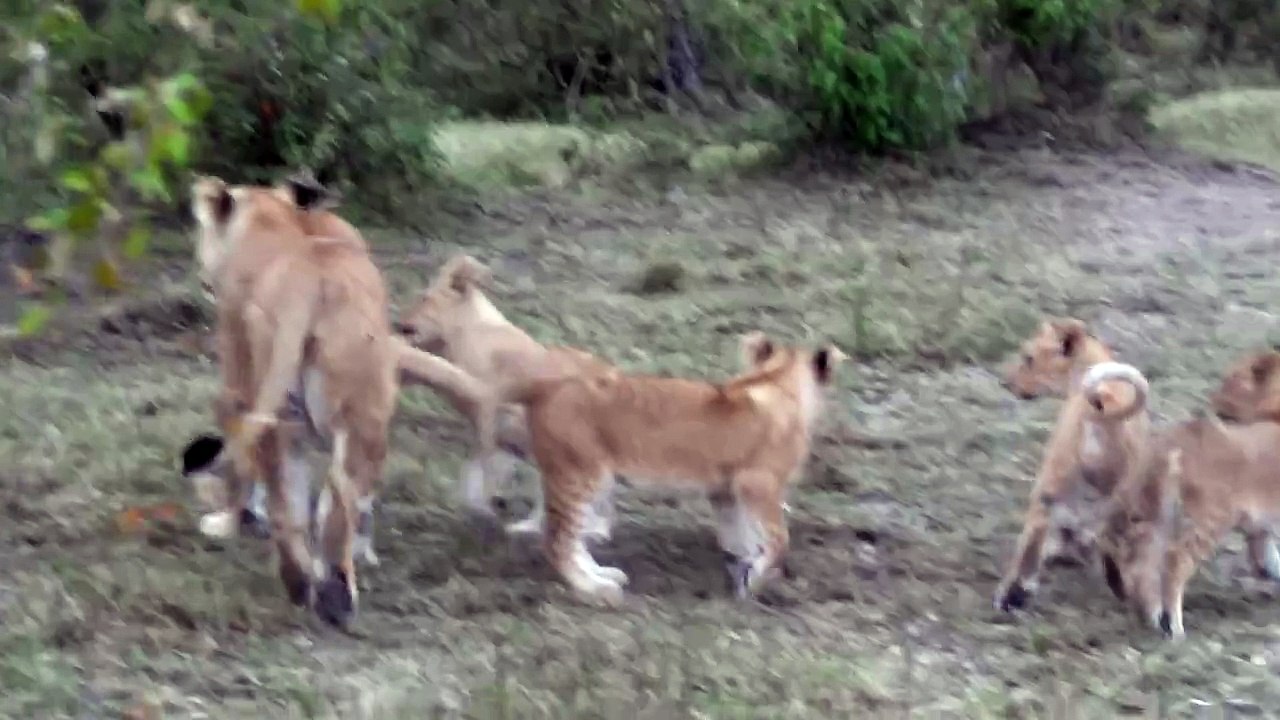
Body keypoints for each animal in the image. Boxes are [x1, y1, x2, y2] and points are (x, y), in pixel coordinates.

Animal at [494, 331, 844, 606]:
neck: (777, 381)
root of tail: (544, 386)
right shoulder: (758, 484)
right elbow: (779, 540)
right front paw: (757, 579)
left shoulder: (725, 491)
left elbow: (739, 536)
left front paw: (743, 572)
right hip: (581, 473)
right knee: (556, 542)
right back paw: (593, 589)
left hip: (591, 476)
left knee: (572, 536)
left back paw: (602, 573)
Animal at [994, 318, 1152, 612]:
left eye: (1028, 357)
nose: (1005, 382)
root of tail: (1101, 407)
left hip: (1053, 486)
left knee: (1035, 538)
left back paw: (1015, 594)